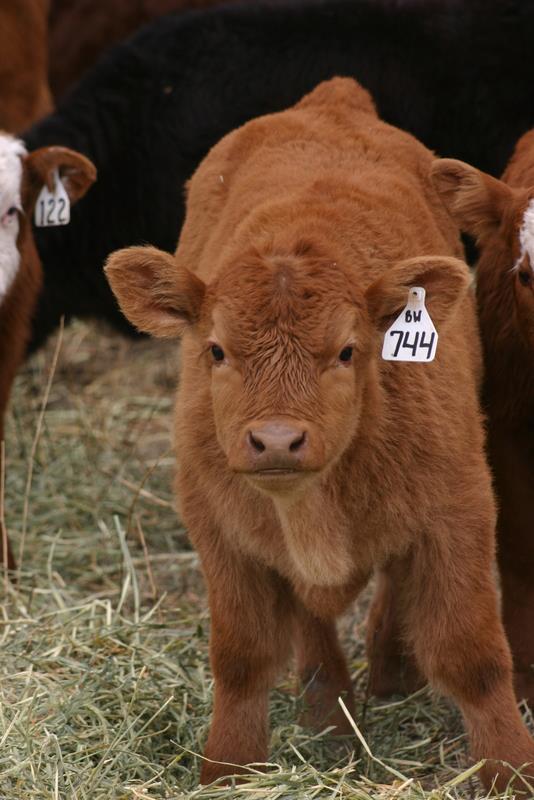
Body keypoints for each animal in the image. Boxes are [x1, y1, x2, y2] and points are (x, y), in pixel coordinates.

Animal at [105, 77, 534, 792]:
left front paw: (511, 770)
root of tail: (331, 100)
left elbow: (471, 655)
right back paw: (329, 713)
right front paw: (227, 768)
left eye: (347, 350)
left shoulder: (460, 510)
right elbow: (243, 657)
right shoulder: (217, 526)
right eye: (216, 350)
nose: (277, 440)